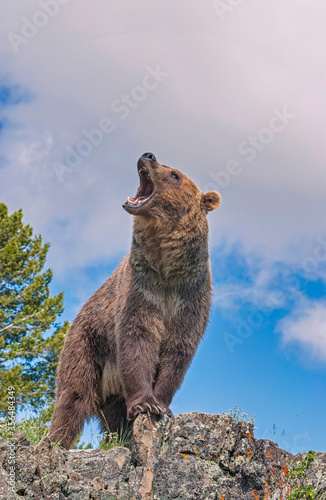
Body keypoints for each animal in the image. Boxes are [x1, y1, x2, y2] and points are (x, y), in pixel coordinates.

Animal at [48, 152, 220, 450]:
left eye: (174, 174)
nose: (148, 155)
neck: (166, 267)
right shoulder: (141, 290)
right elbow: (137, 339)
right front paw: (144, 404)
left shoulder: (190, 297)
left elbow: (178, 350)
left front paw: (160, 405)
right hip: (88, 343)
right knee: (74, 396)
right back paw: (53, 441)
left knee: (112, 416)